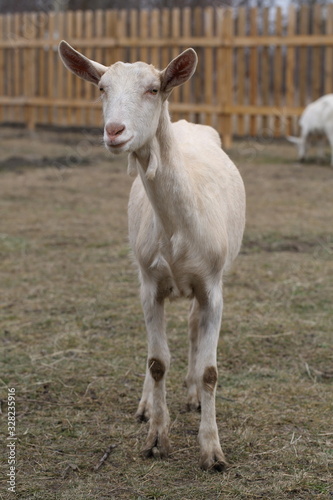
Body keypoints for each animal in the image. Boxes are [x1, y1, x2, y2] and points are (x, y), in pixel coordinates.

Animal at [58, 41, 245, 470]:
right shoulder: (150, 283)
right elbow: (157, 362)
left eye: (153, 89)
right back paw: (146, 406)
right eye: (101, 88)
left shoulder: (213, 286)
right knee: (154, 349)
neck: (177, 231)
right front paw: (156, 439)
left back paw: (192, 397)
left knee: (192, 327)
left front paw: (213, 452)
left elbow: (210, 371)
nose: (114, 131)